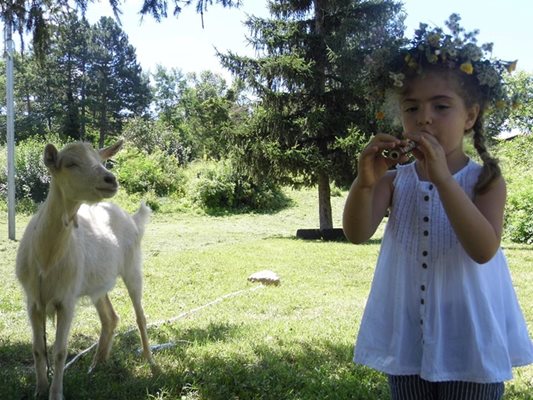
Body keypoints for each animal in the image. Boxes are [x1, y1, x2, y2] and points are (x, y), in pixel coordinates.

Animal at [16, 141, 156, 400]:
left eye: (101, 161)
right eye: (70, 163)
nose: (111, 179)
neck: (46, 260)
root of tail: (133, 218)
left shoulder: (67, 298)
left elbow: (60, 351)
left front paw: (56, 394)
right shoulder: (32, 299)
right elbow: (38, 348)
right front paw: (39, 390)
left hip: (133, 266)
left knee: (140, 316)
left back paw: (150, 361)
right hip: (96, 283)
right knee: (110, 317)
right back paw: (97, 364)